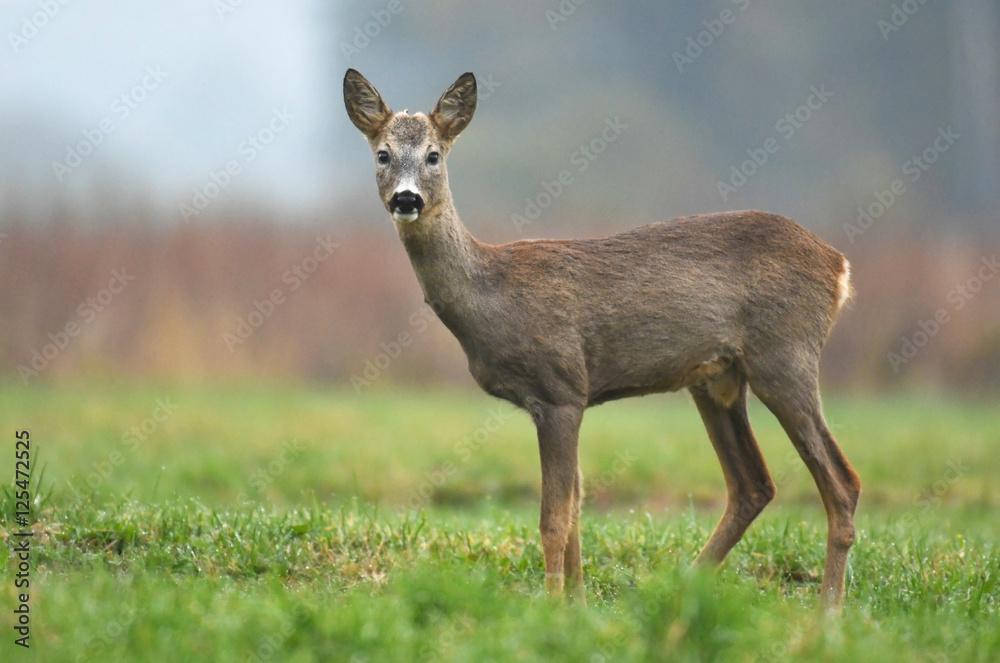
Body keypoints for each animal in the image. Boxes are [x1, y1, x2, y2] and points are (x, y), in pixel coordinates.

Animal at [343, 69, 861, 608]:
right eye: (382, 154)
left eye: (433, 155)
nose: (406, 199)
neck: (493, 295)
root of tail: (839, 266)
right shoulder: (566, 398)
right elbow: (576, 509)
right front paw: (579, 605)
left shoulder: (561, 389)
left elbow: (555, 518)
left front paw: (552, 607)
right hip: (717, 379)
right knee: (753, 485)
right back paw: (682, 588)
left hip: (785, 354)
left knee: (842, 481)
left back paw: (828, 609)